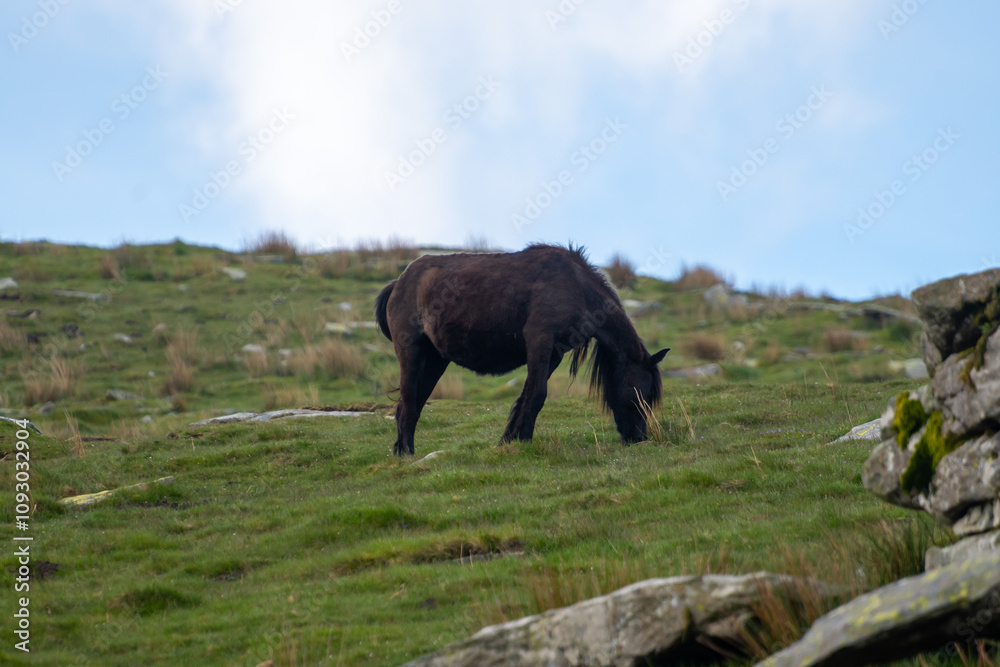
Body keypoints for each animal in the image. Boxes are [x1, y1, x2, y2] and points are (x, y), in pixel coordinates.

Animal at [374, 244, 669, 455]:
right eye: (640, 394)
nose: (638, 438)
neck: (576, 285)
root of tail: (397, 283)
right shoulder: (540, 340)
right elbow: (537, 395)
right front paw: (523, 439)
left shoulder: (554, 353)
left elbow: (526, 396)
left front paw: (510, 439)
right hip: (411, 351)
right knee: (408, 401)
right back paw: (406, 452)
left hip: (435, 359)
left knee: (413, 402)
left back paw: (402, 449)